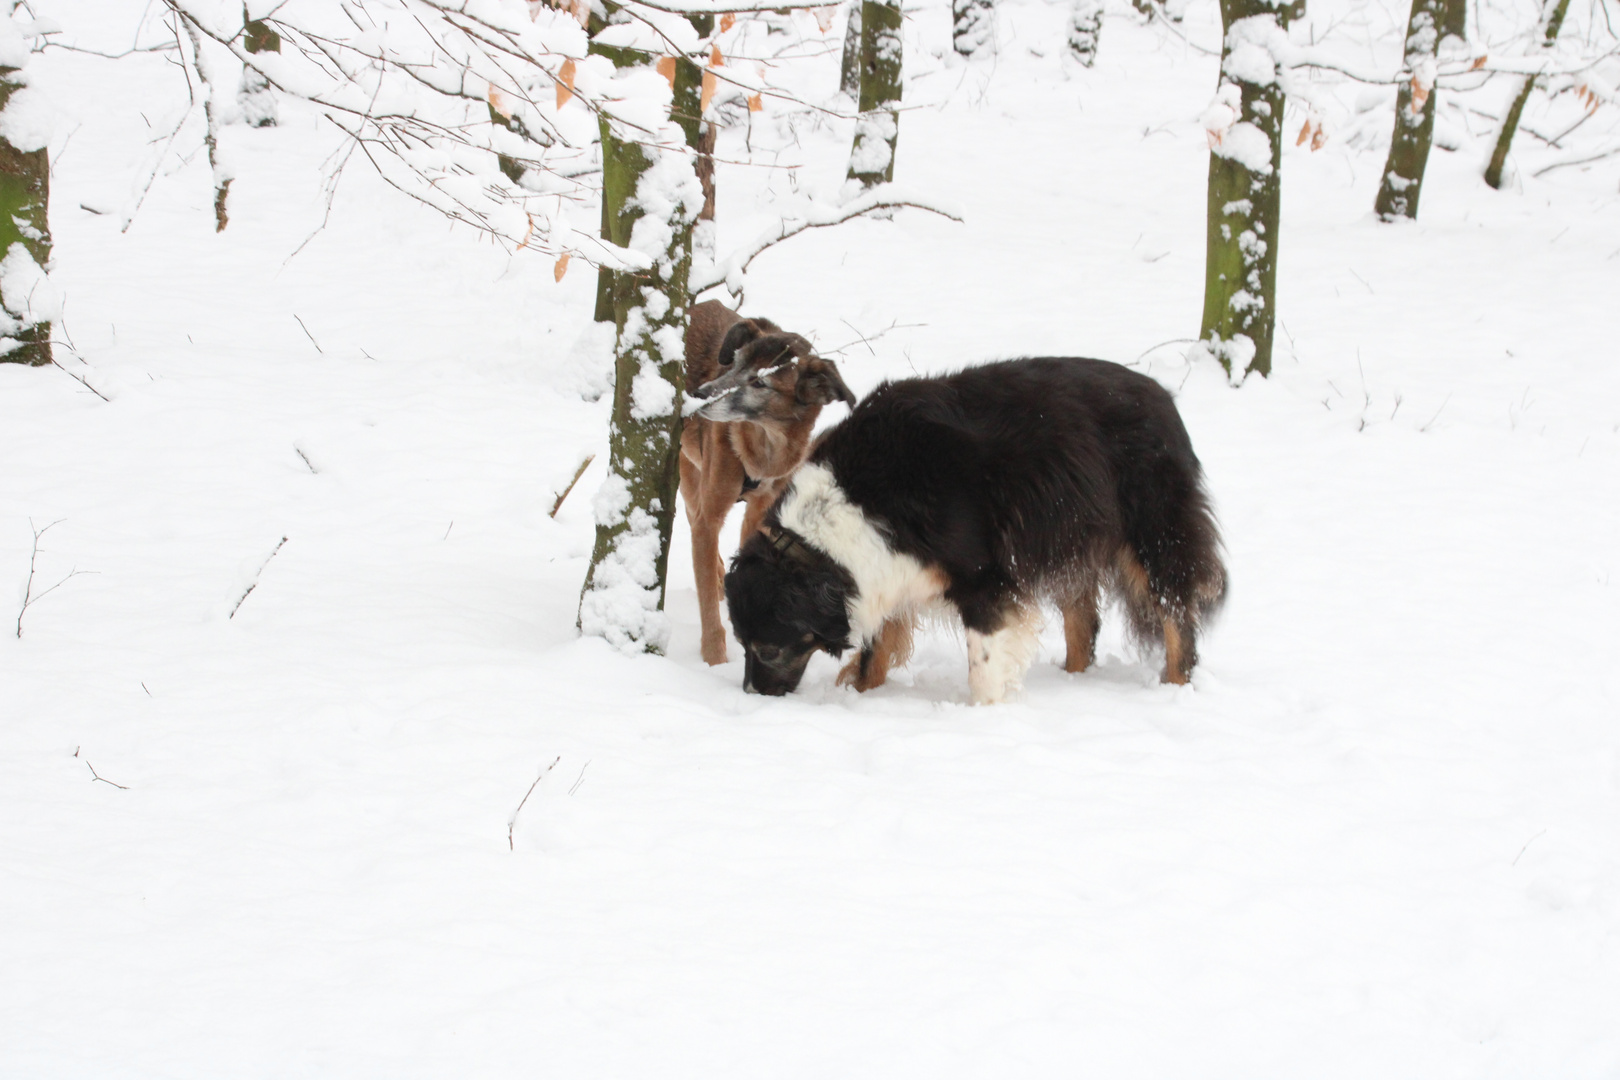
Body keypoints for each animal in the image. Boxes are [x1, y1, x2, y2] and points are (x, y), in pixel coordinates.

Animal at [680, 299, 861, 663]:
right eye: (734, 363)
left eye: (760, 383)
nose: (698, 394)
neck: (766, 446)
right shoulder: (710, 515)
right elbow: (707, 606)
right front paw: (714, 661)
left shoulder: (760, 511)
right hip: (688, 476)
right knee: (695, 523)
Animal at [722, 359, 1224, 705]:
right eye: (742, 644)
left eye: (769, 650)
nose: (751, 696)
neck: (858, 500)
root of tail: (1163, 397)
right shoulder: (887, 569)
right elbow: (873, 654)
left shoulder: (986, 578)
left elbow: (982, 667)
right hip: (1068, 539)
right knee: (1083, 621)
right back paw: (1071, 678)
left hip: (1154, 534)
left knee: (1178, 618)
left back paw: (1174, 687)